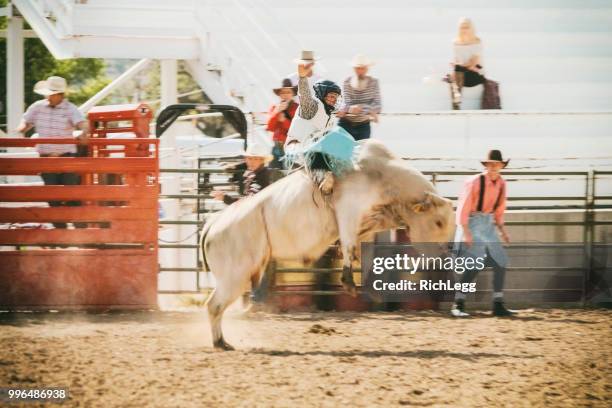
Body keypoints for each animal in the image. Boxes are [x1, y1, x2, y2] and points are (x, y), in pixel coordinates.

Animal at [201, 139, 454, 350]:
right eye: (438, 222)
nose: (444, 256)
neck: (383, 174)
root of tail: (212, 225)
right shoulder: (348, 210)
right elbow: (350, 245)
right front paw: (349, 283)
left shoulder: (370, 222)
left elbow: (364, 254)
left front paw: (372, 290)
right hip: (234, 276)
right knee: (214, 305)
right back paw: (220, 343)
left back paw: (223, 341)